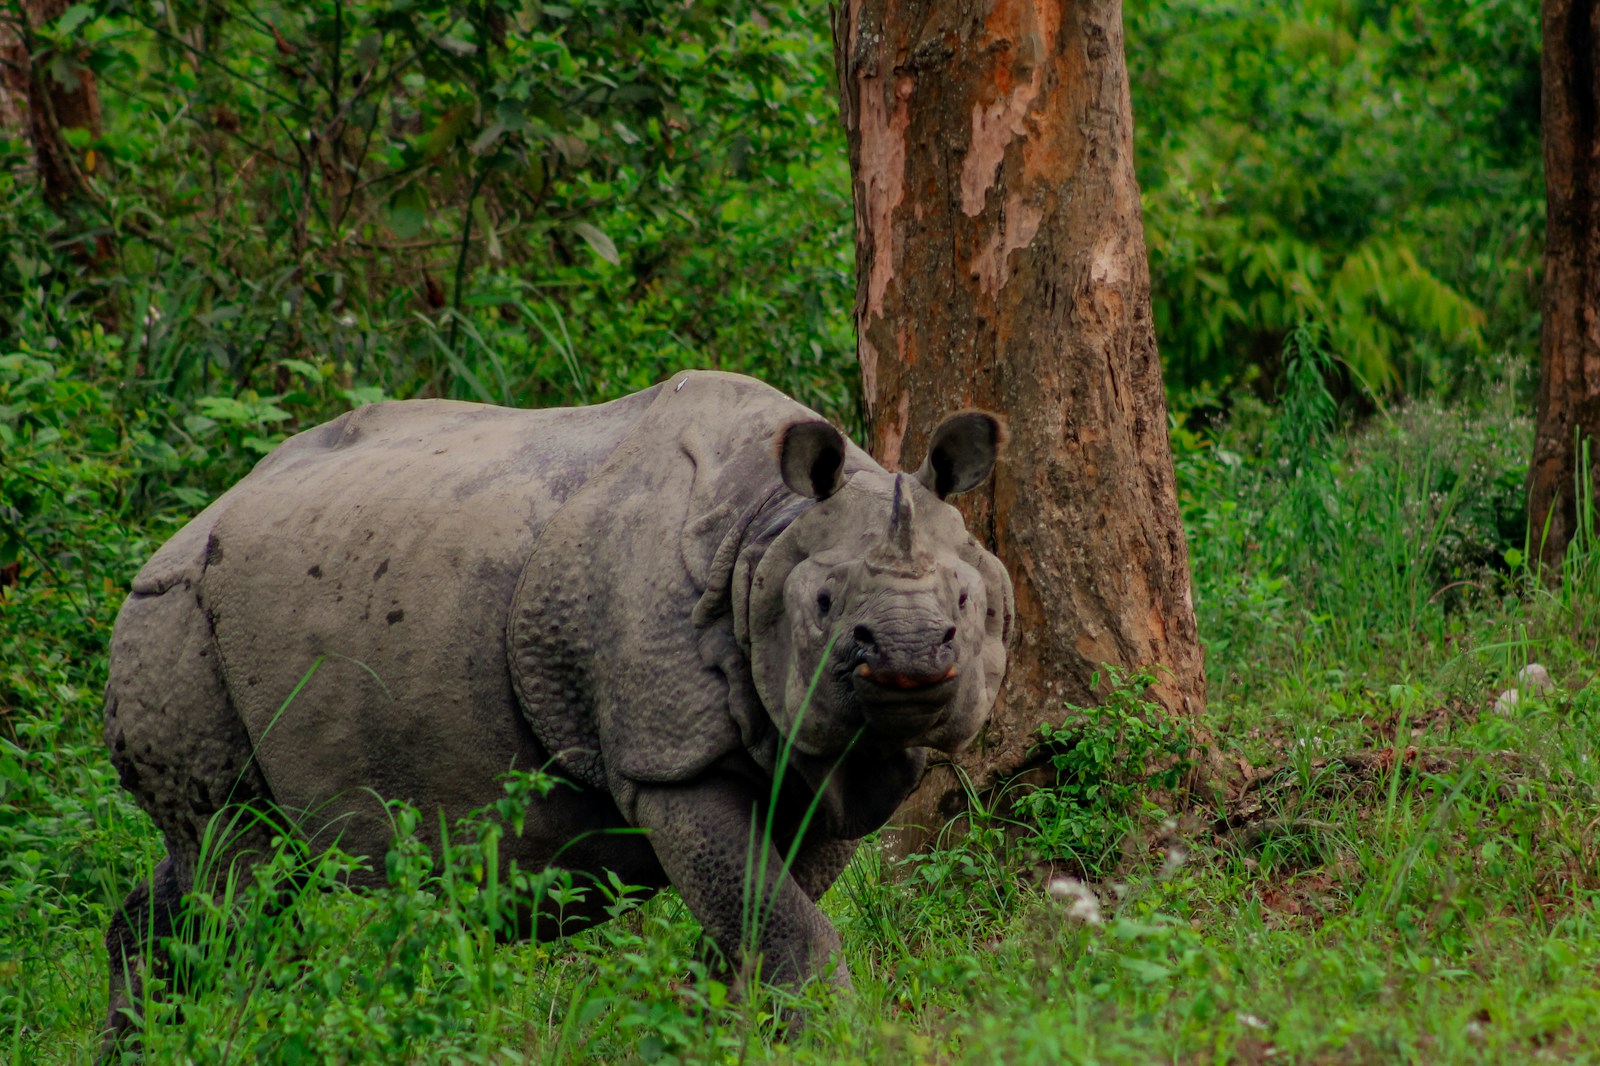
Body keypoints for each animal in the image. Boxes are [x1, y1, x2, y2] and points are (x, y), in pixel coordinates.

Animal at [102, 370, 1012, 1044]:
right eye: (823, 604)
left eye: (967, 602)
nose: (908, 658)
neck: (766, 538)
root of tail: (187, 527)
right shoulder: (665, 764)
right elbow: (786, 930)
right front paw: (820, 1040)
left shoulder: (827, 766)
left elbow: (757, 930)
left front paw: (713, 1035)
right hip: (172, 616)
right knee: (237, 872)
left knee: (217, 861)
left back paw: (137, 1039)